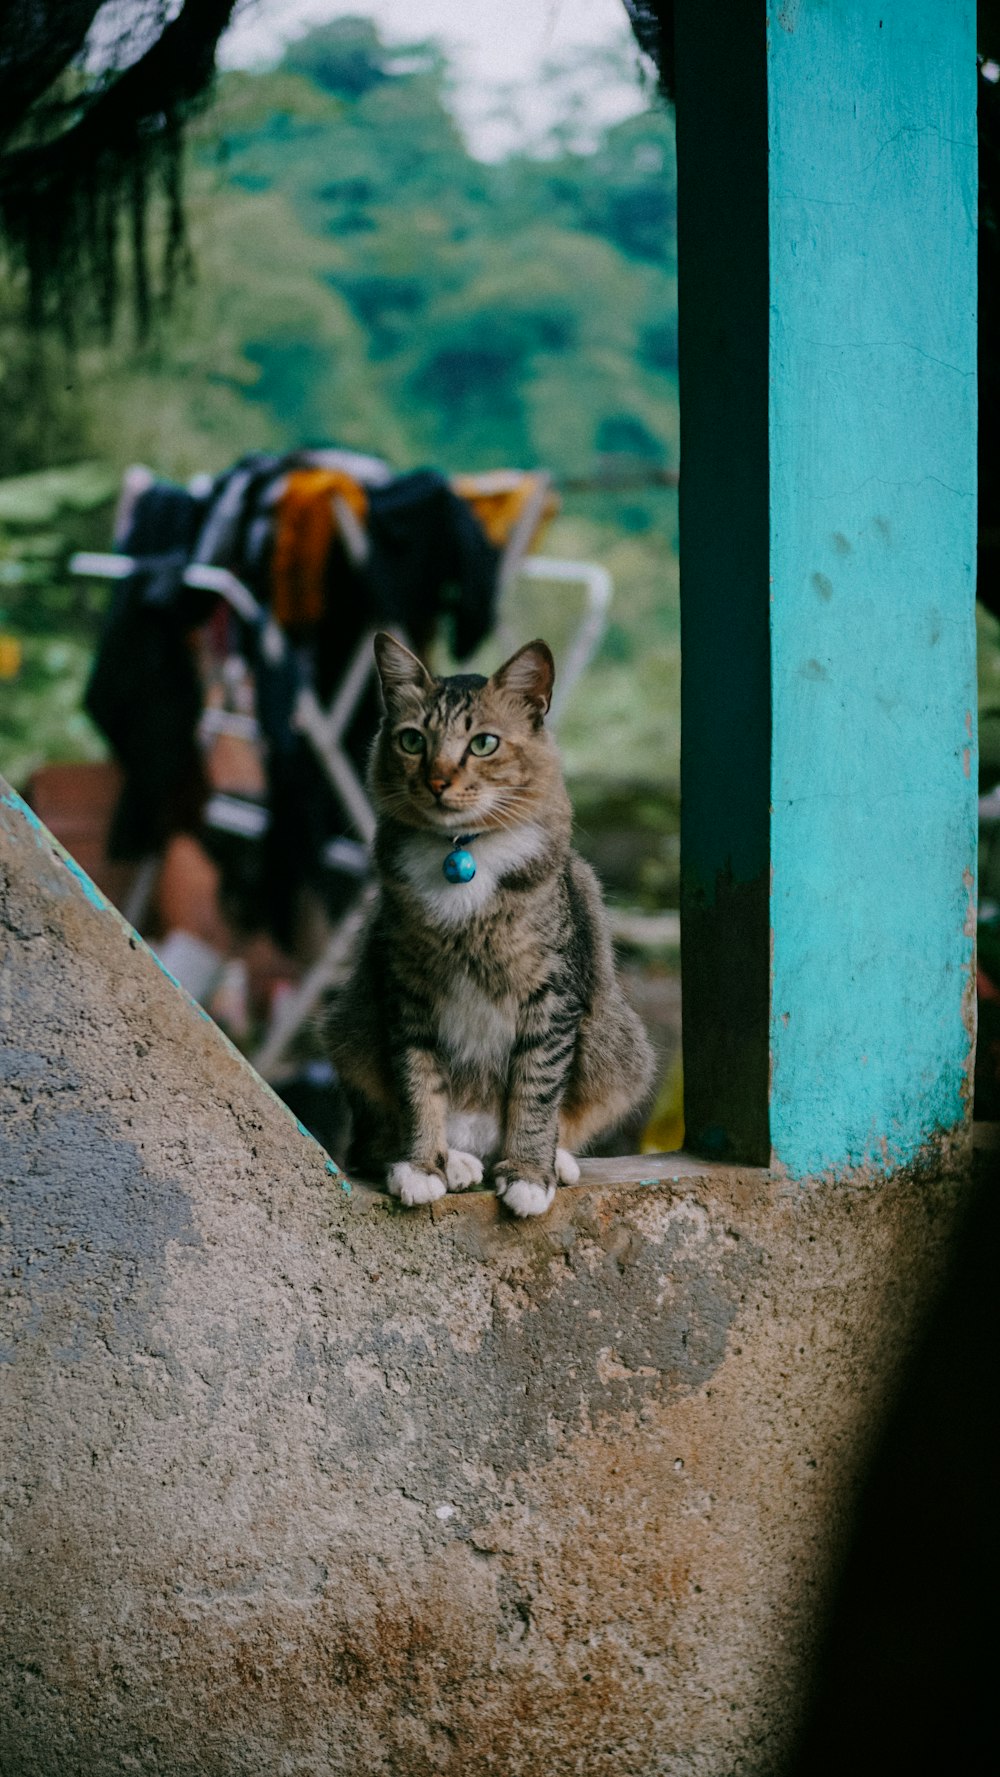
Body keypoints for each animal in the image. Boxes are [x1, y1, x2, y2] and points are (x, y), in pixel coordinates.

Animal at [325, 632, 657, 1215]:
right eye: (412, 741)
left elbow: (536, 1090)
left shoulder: (553, 994)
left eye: (483, 744)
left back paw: (552, 1162)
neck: (462, 855)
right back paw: (456, 1163)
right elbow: (419, 1086)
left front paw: (528, 1174)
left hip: (619, 1046)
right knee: (371, 1142)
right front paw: (421, 1167)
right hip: (349, 1032)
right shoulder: (405, 991)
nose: (437, 780)